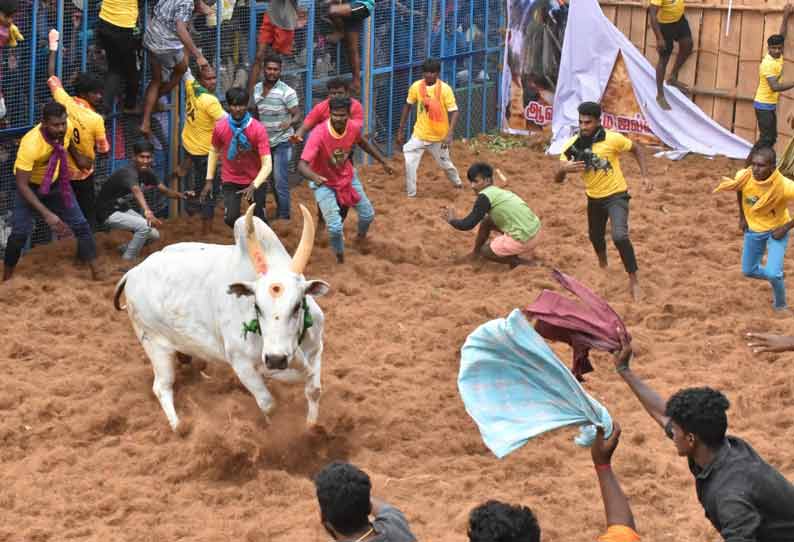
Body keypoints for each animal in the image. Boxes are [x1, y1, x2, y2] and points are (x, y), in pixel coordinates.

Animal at [112, 205, 328, 434]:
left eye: (297, 306)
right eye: (257, 307)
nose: (275, 359)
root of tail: (133, 272)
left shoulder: (317, 349)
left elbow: (313, 390)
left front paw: (312, 427)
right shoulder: (241, 365)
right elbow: (269, 405)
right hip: (155, 346)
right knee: (162, 387)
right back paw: (179, 427)